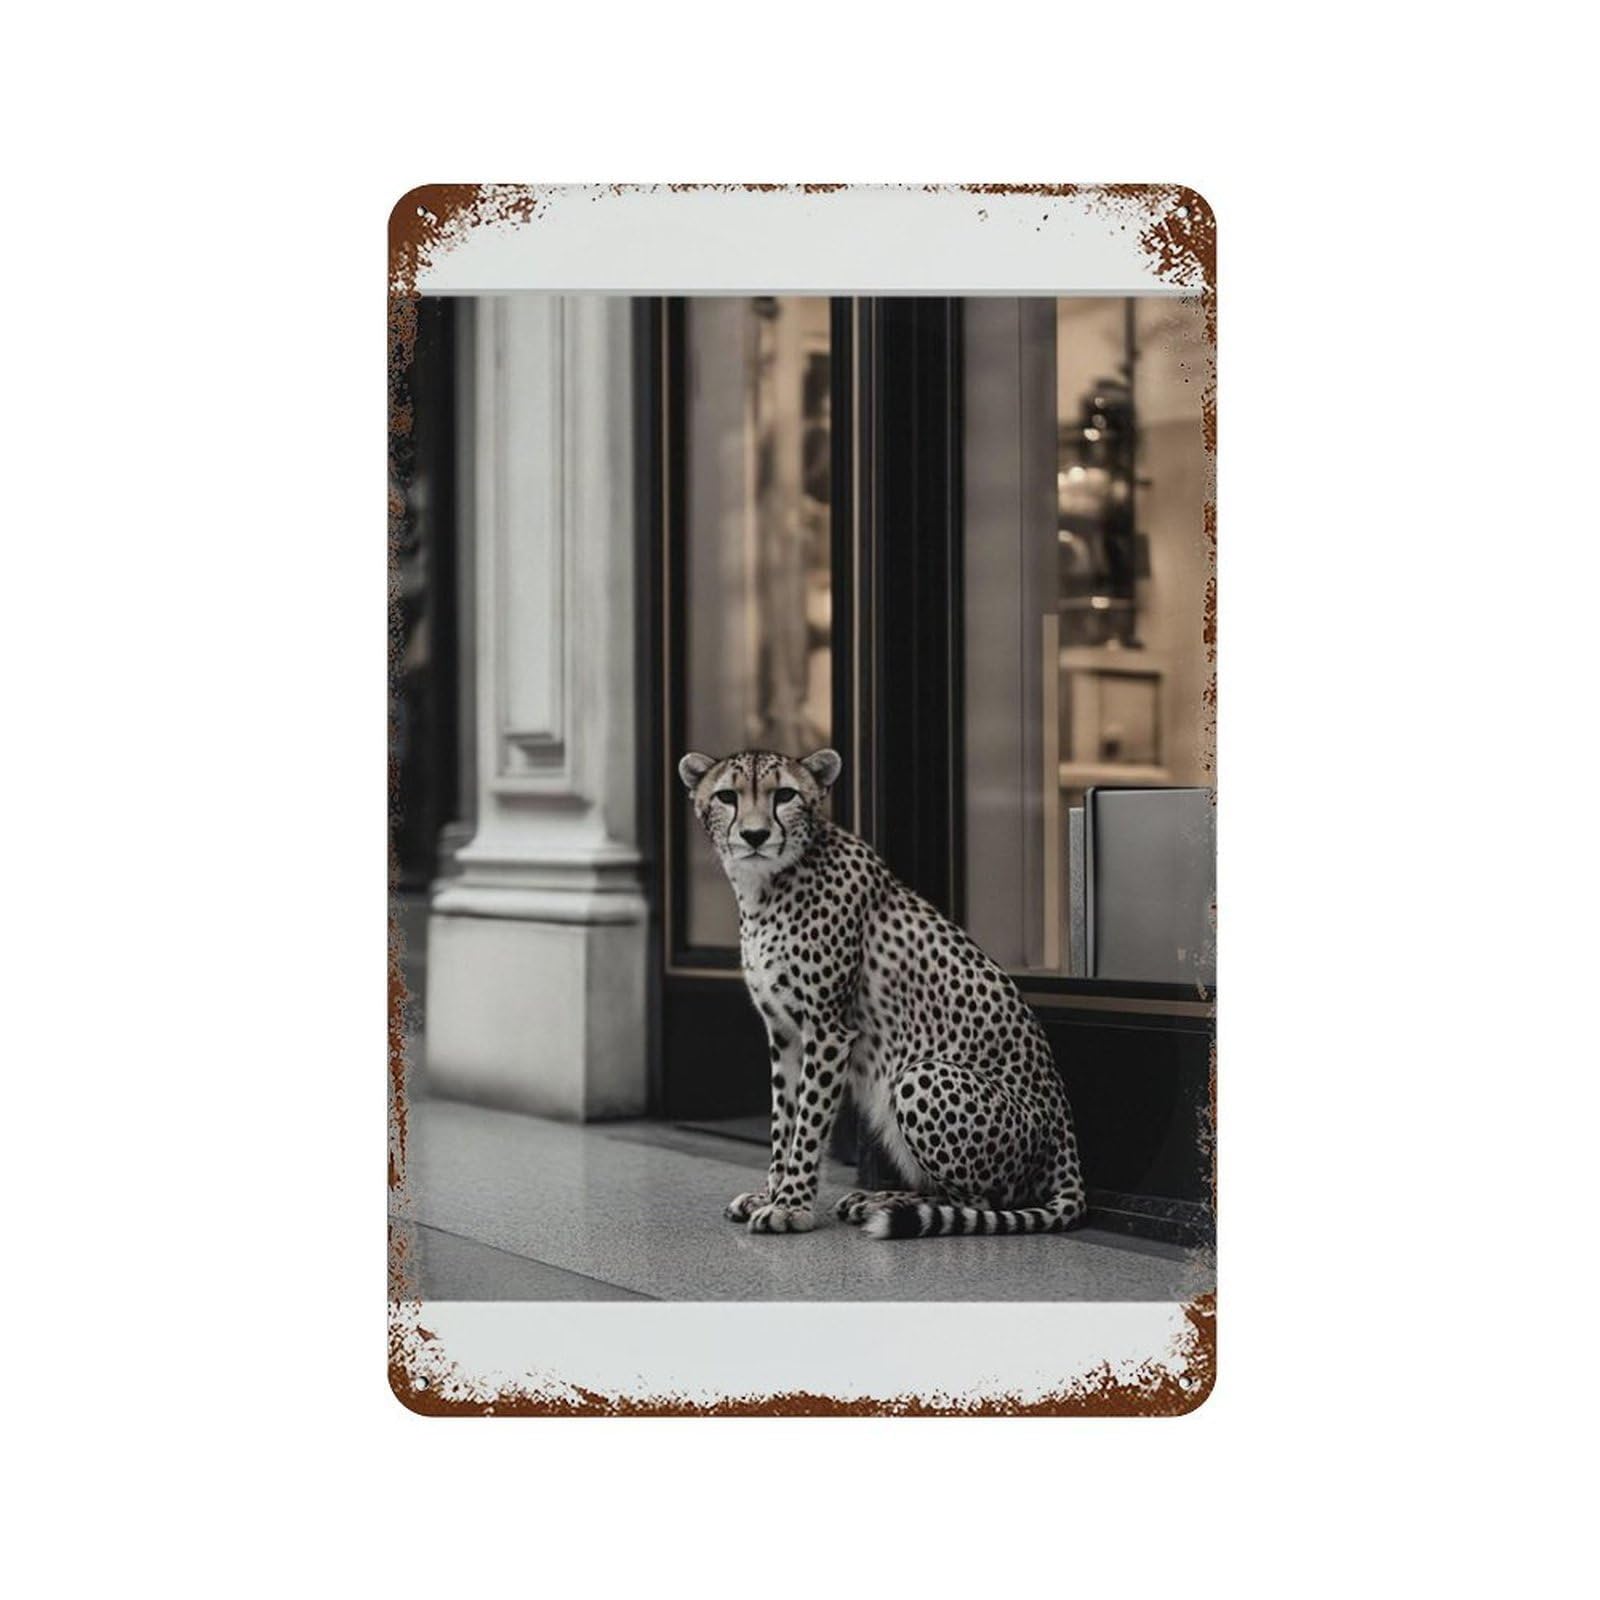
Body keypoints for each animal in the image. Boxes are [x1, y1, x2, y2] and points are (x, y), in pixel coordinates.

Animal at [678, 745, 1087, 1239]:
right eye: (727, 796)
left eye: (785, 795)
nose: (755, 835)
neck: (766, 885)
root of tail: (1067, 1135)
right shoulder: (784, 1032)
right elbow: (783, 1120)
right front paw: (771, 1193)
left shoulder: (827, 1031)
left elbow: (809, 1124)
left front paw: (791, 1206)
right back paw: (874, 1199)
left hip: (920, 1075)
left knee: (982, 1199)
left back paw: (887, 1202)